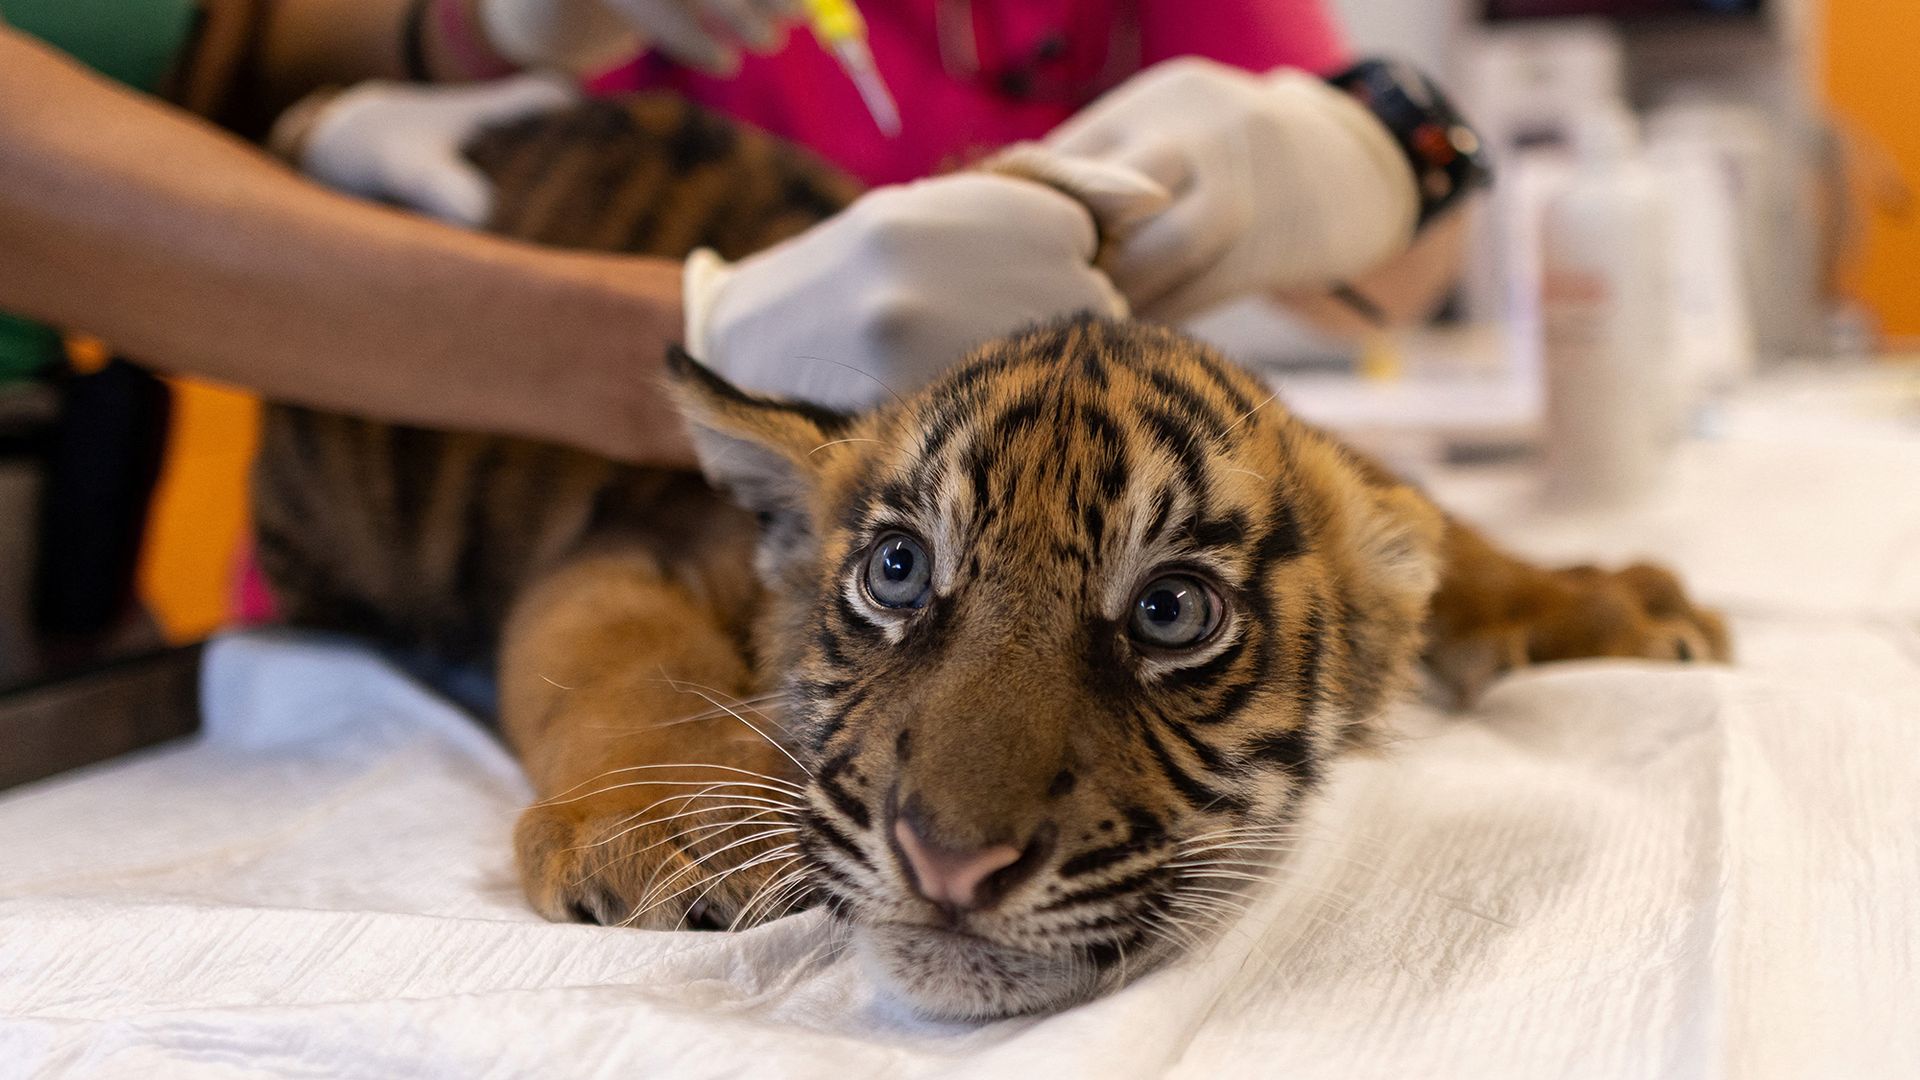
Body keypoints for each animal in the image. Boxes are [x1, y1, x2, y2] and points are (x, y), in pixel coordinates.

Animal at [253, 94, 1729, 1020]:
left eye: (1172, 611)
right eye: (898, 573)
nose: (950, 868)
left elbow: (1437, 519)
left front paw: (1613, 602)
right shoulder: (633, 547)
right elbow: (620, 663)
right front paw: (677, 829)